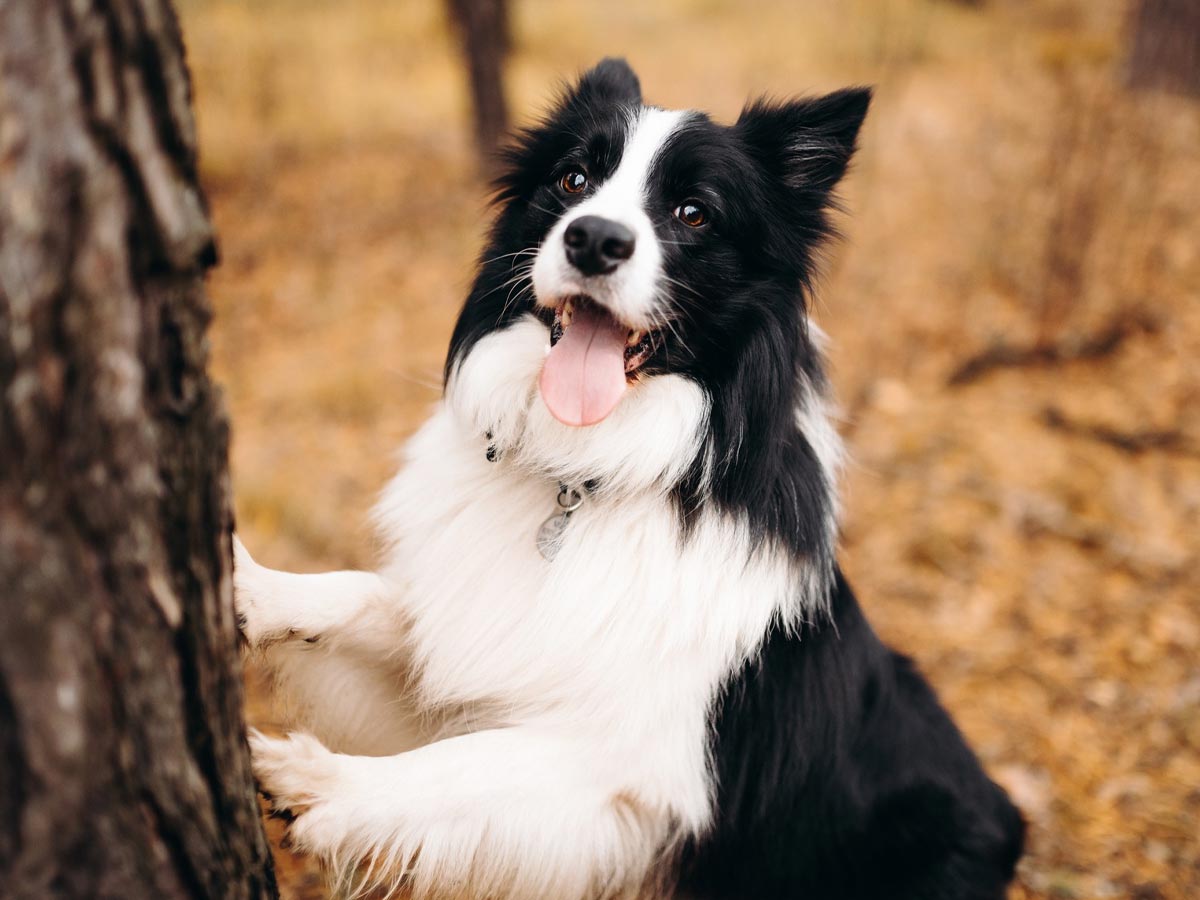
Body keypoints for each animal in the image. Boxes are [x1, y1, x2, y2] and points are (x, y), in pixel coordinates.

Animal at [238, 58, 1027, 900]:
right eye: (573, 178)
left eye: (694, 212)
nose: (593, 238)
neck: (586, 473)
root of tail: (1011, 820)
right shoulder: (471, 641)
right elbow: (369, 596)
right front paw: (251, 585)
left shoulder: (633, 772)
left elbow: (461, 766)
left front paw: (321, 782)